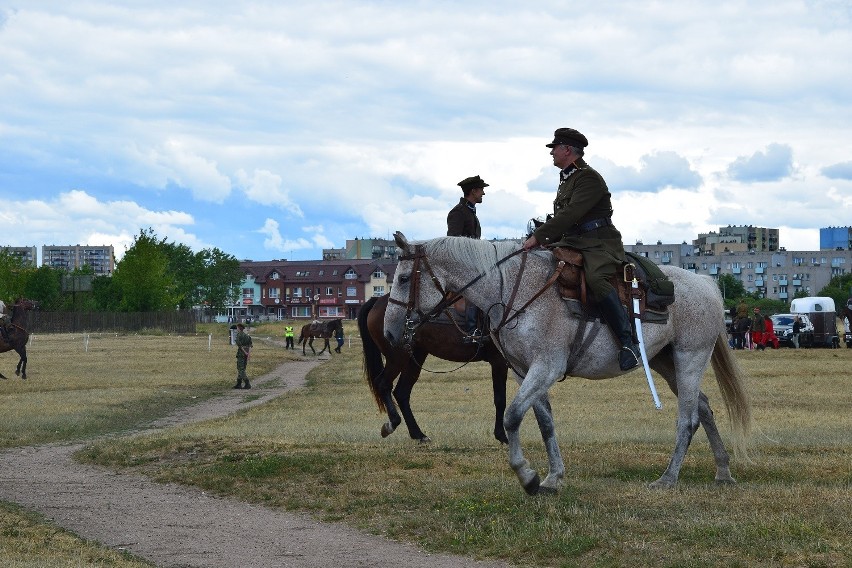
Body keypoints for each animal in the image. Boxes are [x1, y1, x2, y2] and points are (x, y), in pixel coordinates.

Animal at [358, 296, 510, 446]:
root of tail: (378, 301)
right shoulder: (499, 361)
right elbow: (500, 399)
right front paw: (502, 436)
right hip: (397, 358)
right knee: (383, 384)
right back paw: (393, 424)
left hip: (416, 356)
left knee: (401, 392)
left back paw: (418, 434)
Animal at [382, 233, 748, 494]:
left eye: (403, 279)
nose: (389, 332)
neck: (513, 289)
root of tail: (706, 284)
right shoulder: (523, 373)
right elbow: (544, 423)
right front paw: (552, 477)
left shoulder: (546, 367)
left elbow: (512, 416)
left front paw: (527, 476)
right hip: (665, 362)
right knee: (704, 408)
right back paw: (723, 471)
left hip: (689, 358)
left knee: (688, 419)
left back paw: (669, 478)